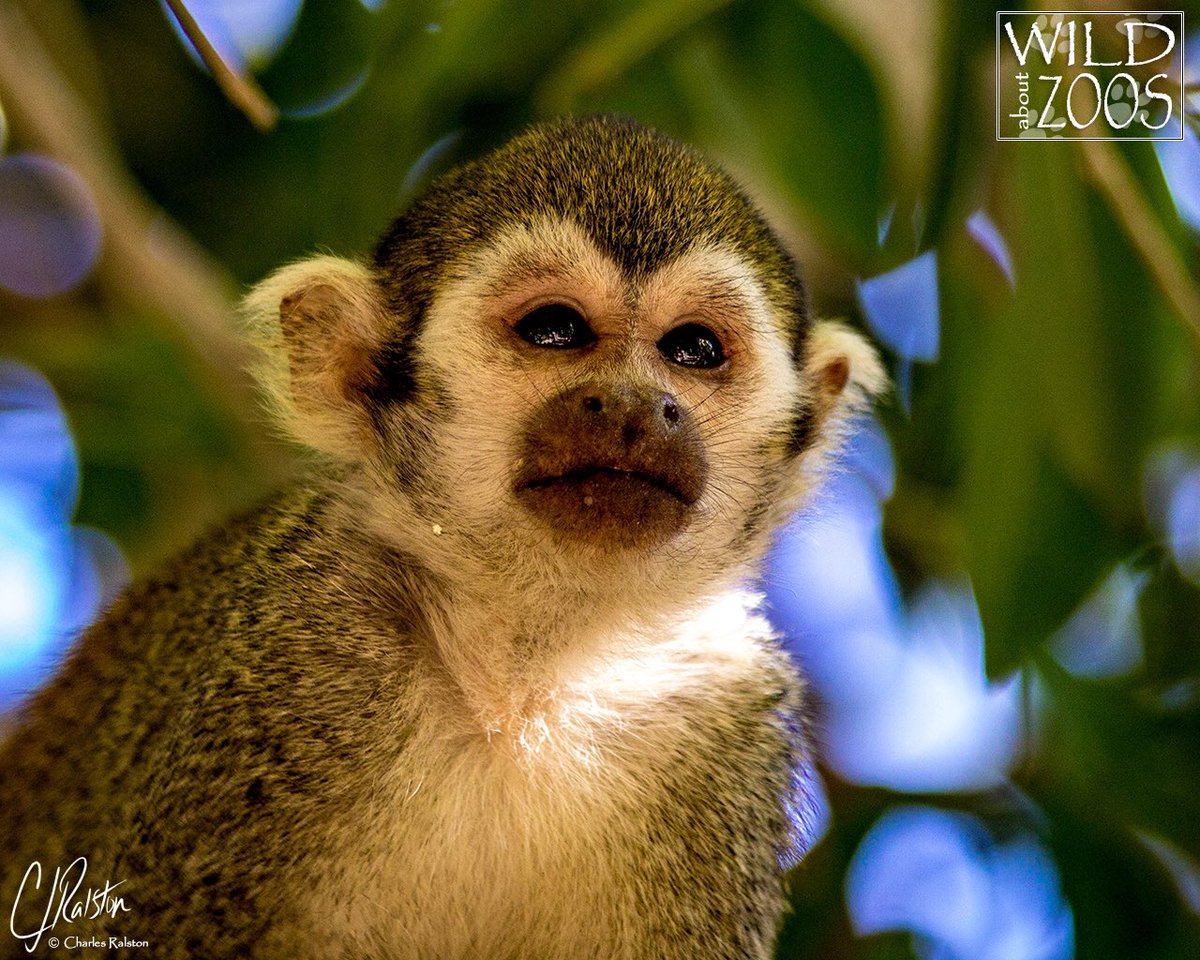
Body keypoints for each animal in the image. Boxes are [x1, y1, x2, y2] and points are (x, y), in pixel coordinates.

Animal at [0, 115, 882, 959]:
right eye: (555, 328)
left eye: (693, 349)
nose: (636, 405)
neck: (525, 683)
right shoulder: (285, 647)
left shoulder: (727, 723)